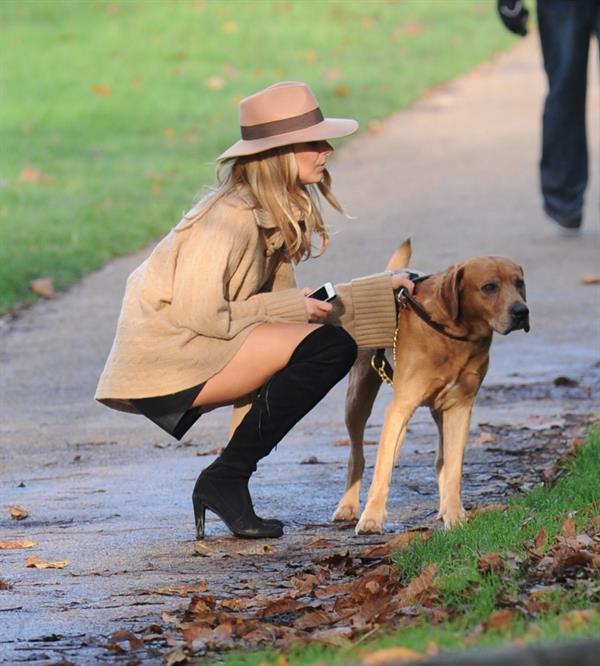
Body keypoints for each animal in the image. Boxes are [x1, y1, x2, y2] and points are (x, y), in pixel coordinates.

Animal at [332, 239, 528, 536]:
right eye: (489, 287)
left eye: (519, 283)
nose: (522, 311)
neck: (455, 334)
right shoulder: (399, 408)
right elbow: (382, 471)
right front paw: (372, 518)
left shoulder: (459, 407)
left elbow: (454, 469)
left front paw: (454, 514)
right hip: (358, 398)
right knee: (358, 455)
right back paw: (348, 505)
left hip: (437, 411)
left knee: (441, 461)